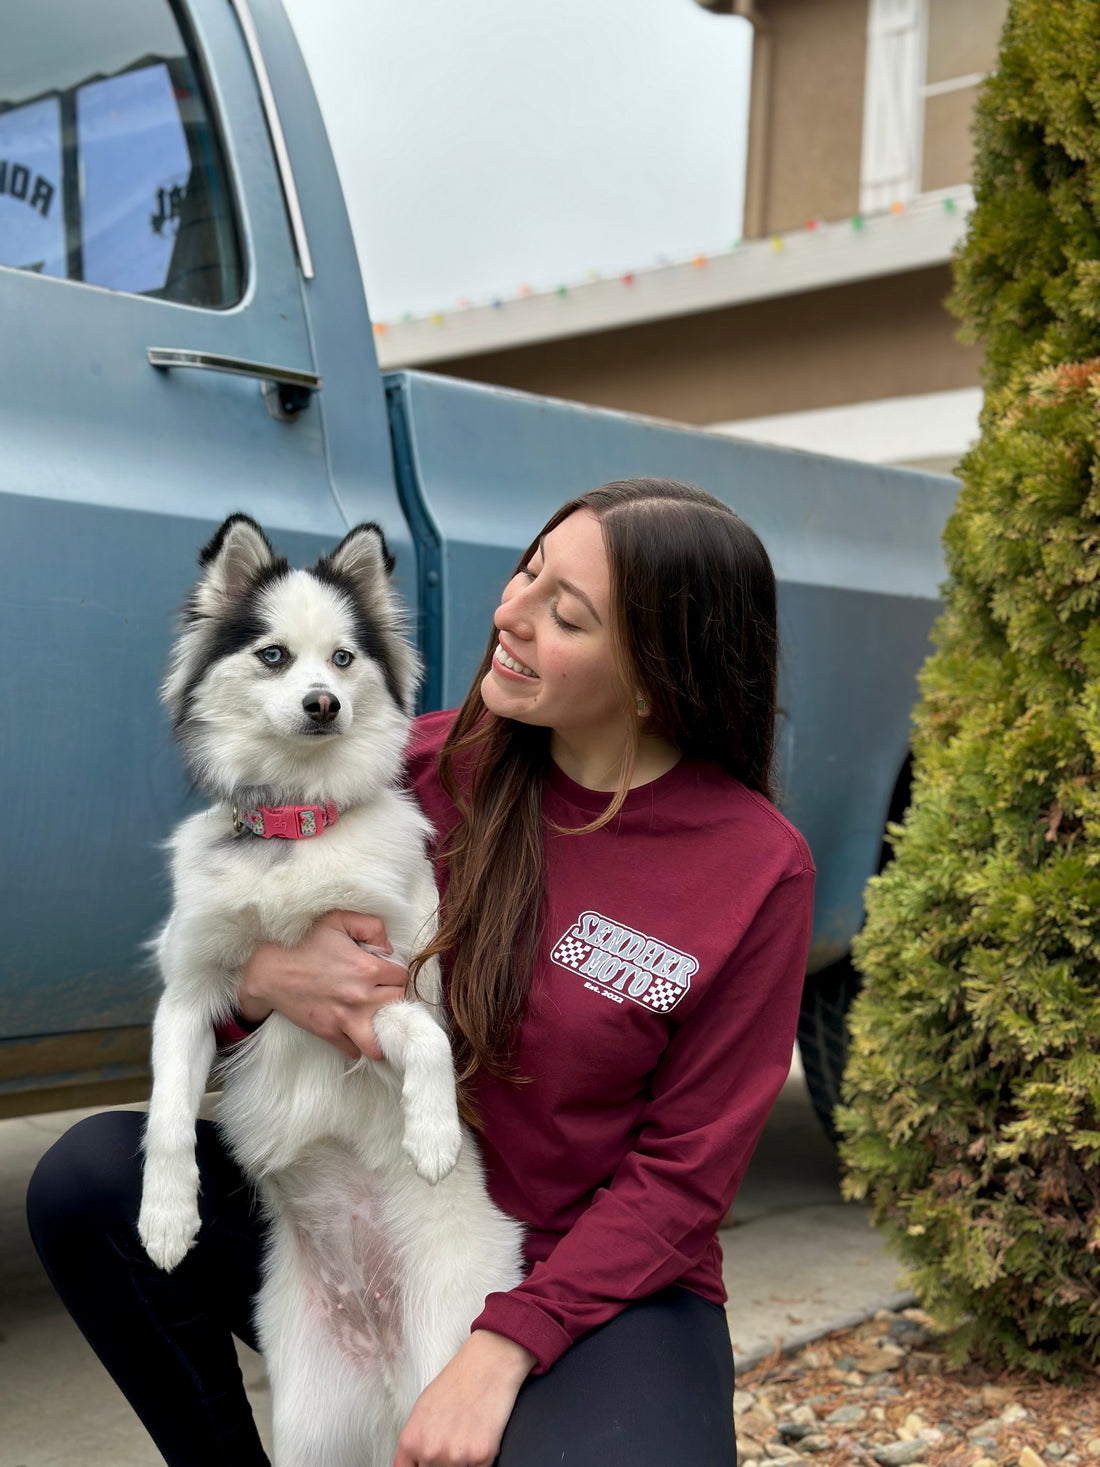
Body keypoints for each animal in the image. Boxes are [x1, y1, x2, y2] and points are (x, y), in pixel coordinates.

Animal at [138, 516, 525, 1467]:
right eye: (273, 655)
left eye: (344, 659)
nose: (323, 704)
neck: (295, 830)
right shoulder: (190, 993)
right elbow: (167, 1112)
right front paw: (165, 1217)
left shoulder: (386, 981)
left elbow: (424, 1036)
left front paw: (433, 1135)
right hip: (311, 1420)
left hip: (446, 1349)